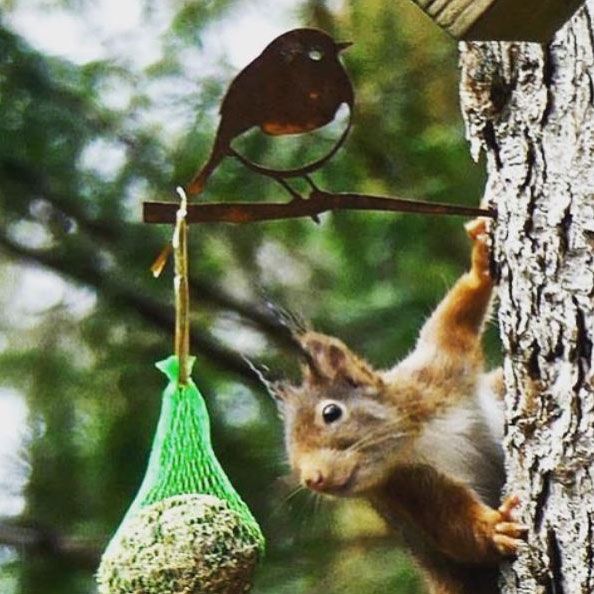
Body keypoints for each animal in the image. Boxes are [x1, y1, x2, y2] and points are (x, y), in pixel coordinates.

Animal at [256, 219, 524, 592]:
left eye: (331, 413)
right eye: (288, 447)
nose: (312, 479)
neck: (415, 435)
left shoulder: (439, 370)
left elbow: (451, 323)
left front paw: (480, 257)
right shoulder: (406, 488)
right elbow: (454, 529)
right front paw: (495, 529)